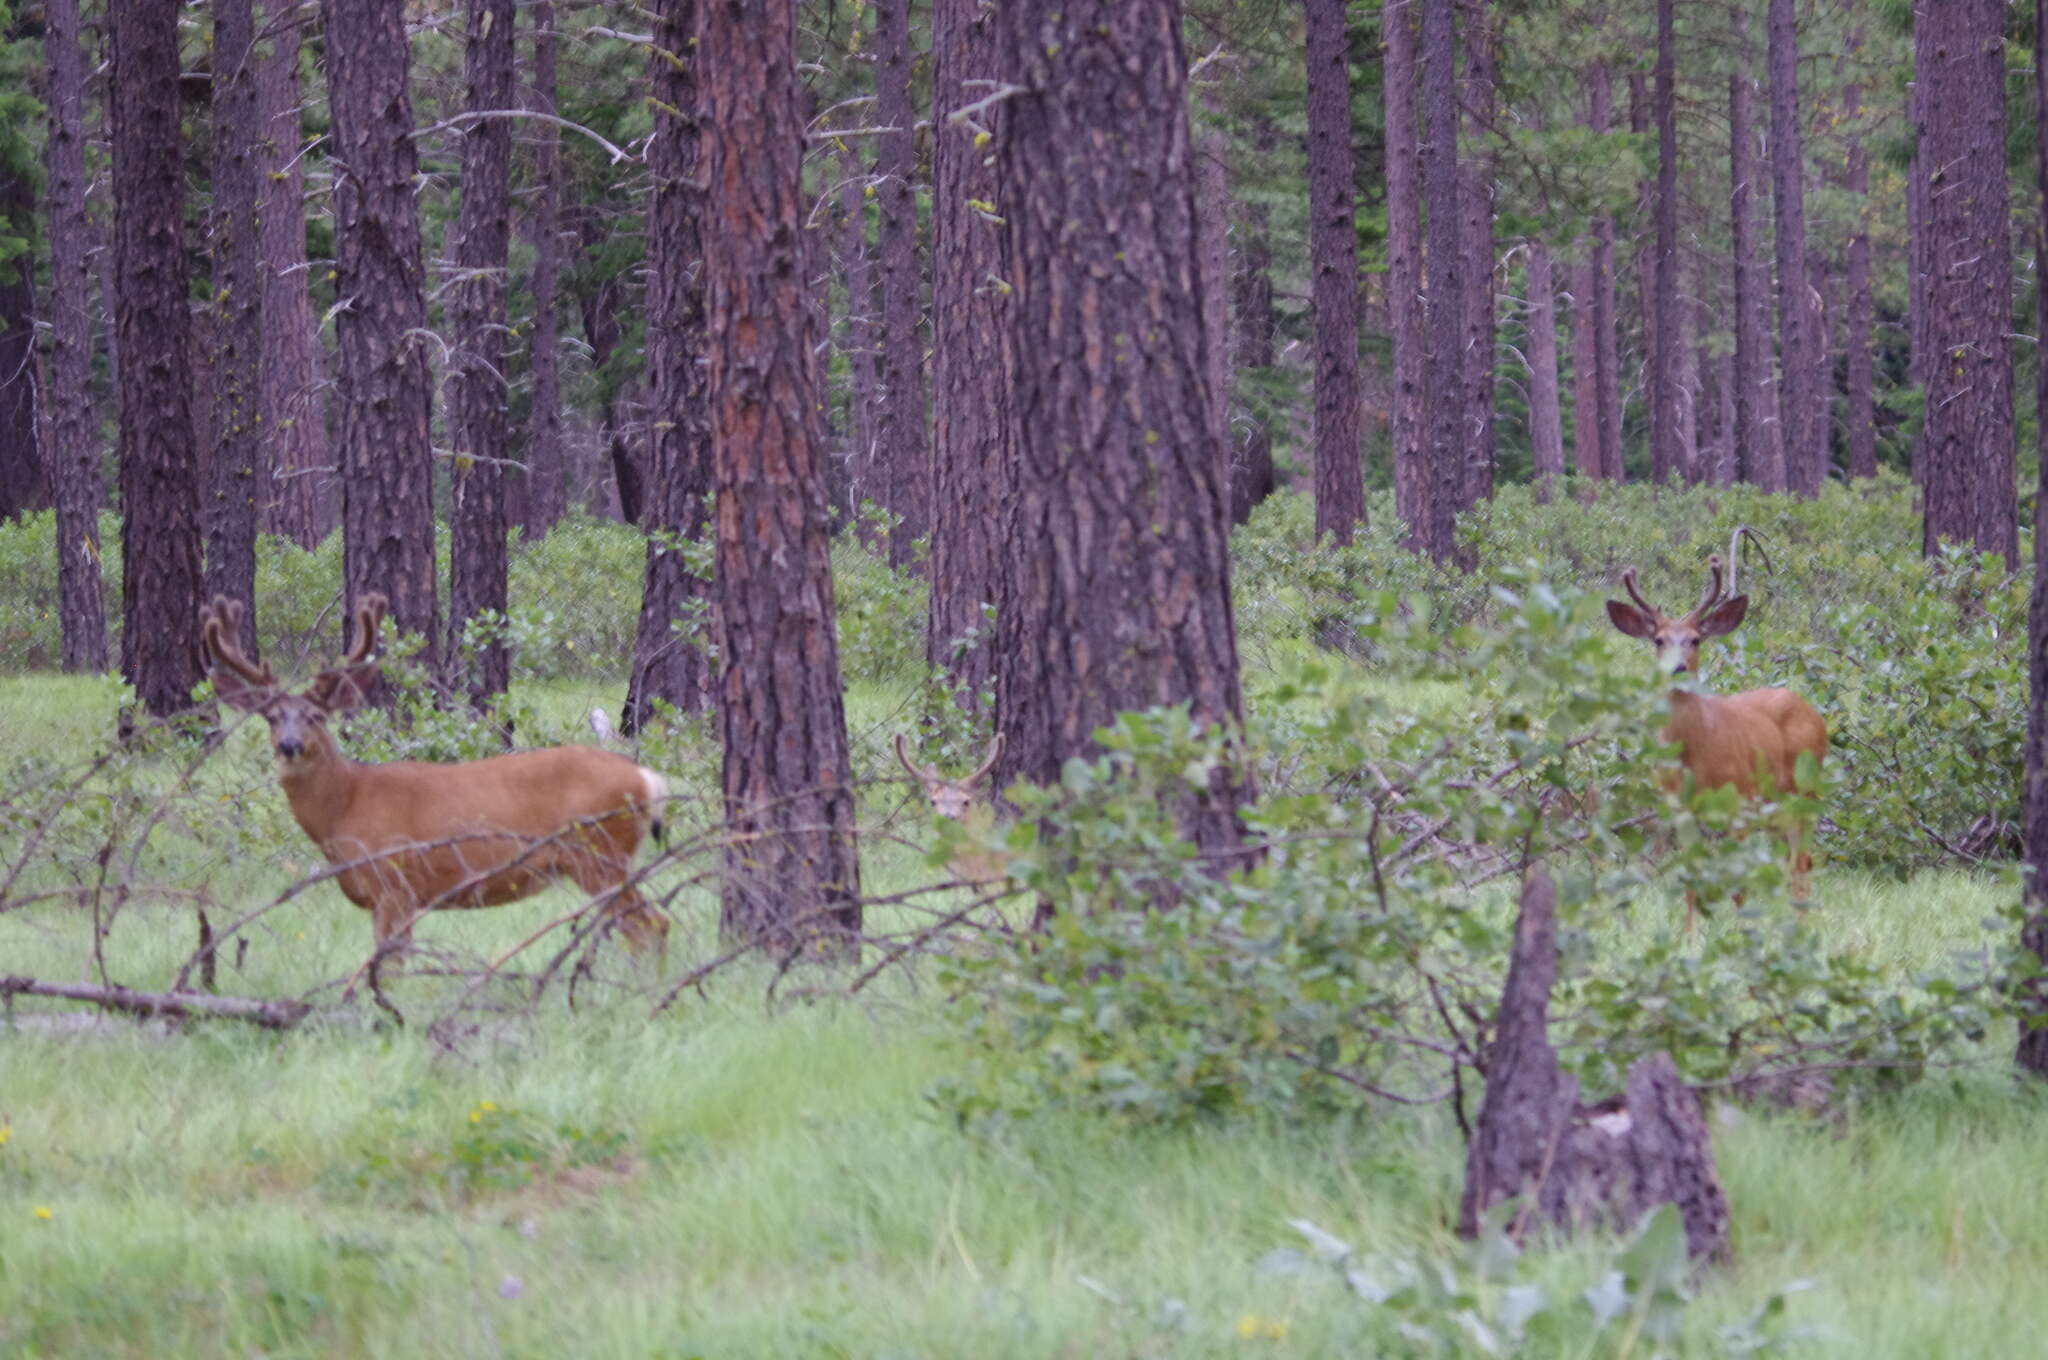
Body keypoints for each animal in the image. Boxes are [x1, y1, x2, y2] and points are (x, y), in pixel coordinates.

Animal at [199, 593, 667, 954]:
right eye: (272, 717)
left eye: (316, 716)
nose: (290, 745)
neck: (345, 807)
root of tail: (647, 778)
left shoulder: (395, 885)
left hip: (600, 854)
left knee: (648, 925)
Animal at [1605, 553, 1835, 925]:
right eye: (1659, 640)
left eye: (1695, 639)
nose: (1678, 668)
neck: (1697, 753)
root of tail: (1814, 713)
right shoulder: (1681, 812)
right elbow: (1689, 881)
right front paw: (1690, 933)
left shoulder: (1738, 804)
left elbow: (1739, 887)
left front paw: (1742, 932)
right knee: (1798, 862)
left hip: (1803, 791)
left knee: (1802, 862)